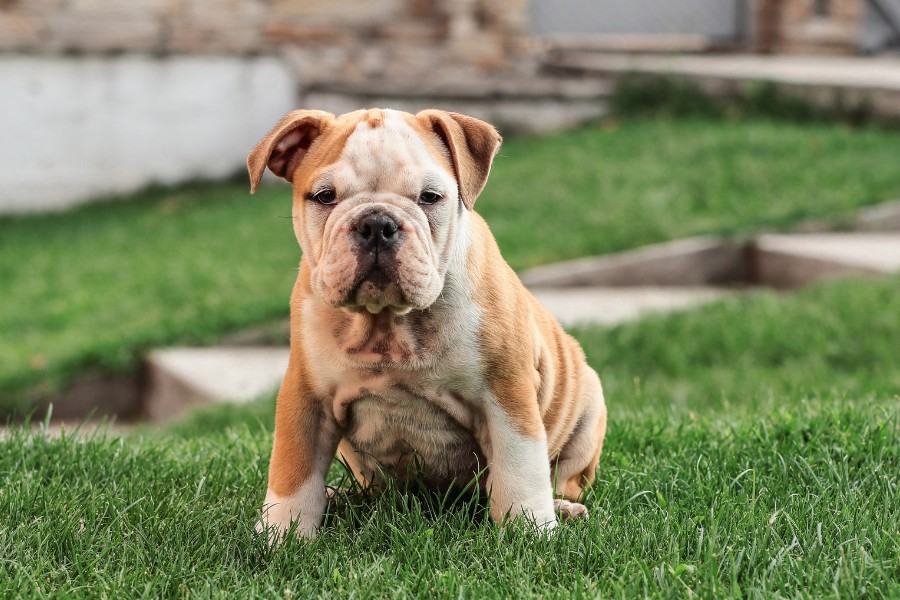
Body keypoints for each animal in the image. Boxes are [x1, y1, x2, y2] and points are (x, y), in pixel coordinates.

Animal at [248, 108, 604, 540]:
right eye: (325, 196)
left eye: (430, 197)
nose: (377, 224)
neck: (387, 324)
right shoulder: (306, 397)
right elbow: (294, 473)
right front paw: (282, 535)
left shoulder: (506, 393)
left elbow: (519, 470)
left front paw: (529, 531)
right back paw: (338, 497)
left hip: (588, 410)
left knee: (562, 477)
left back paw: (562, 508)